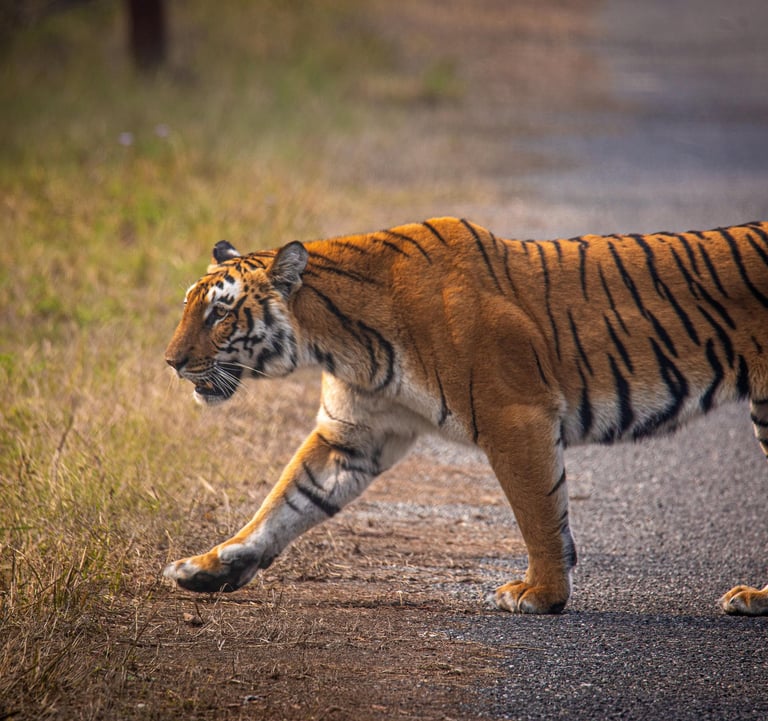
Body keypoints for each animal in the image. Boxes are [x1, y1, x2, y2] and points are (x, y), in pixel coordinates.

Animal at [163, 216, 768, 615]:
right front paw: (209, 567)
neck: (337, 340)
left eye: (219, 314)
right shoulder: (353, 435)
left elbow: (539, 513)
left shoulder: (515, 415)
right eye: (189, 306)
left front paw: (541, 595)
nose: (171, 362)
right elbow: (284, 504)